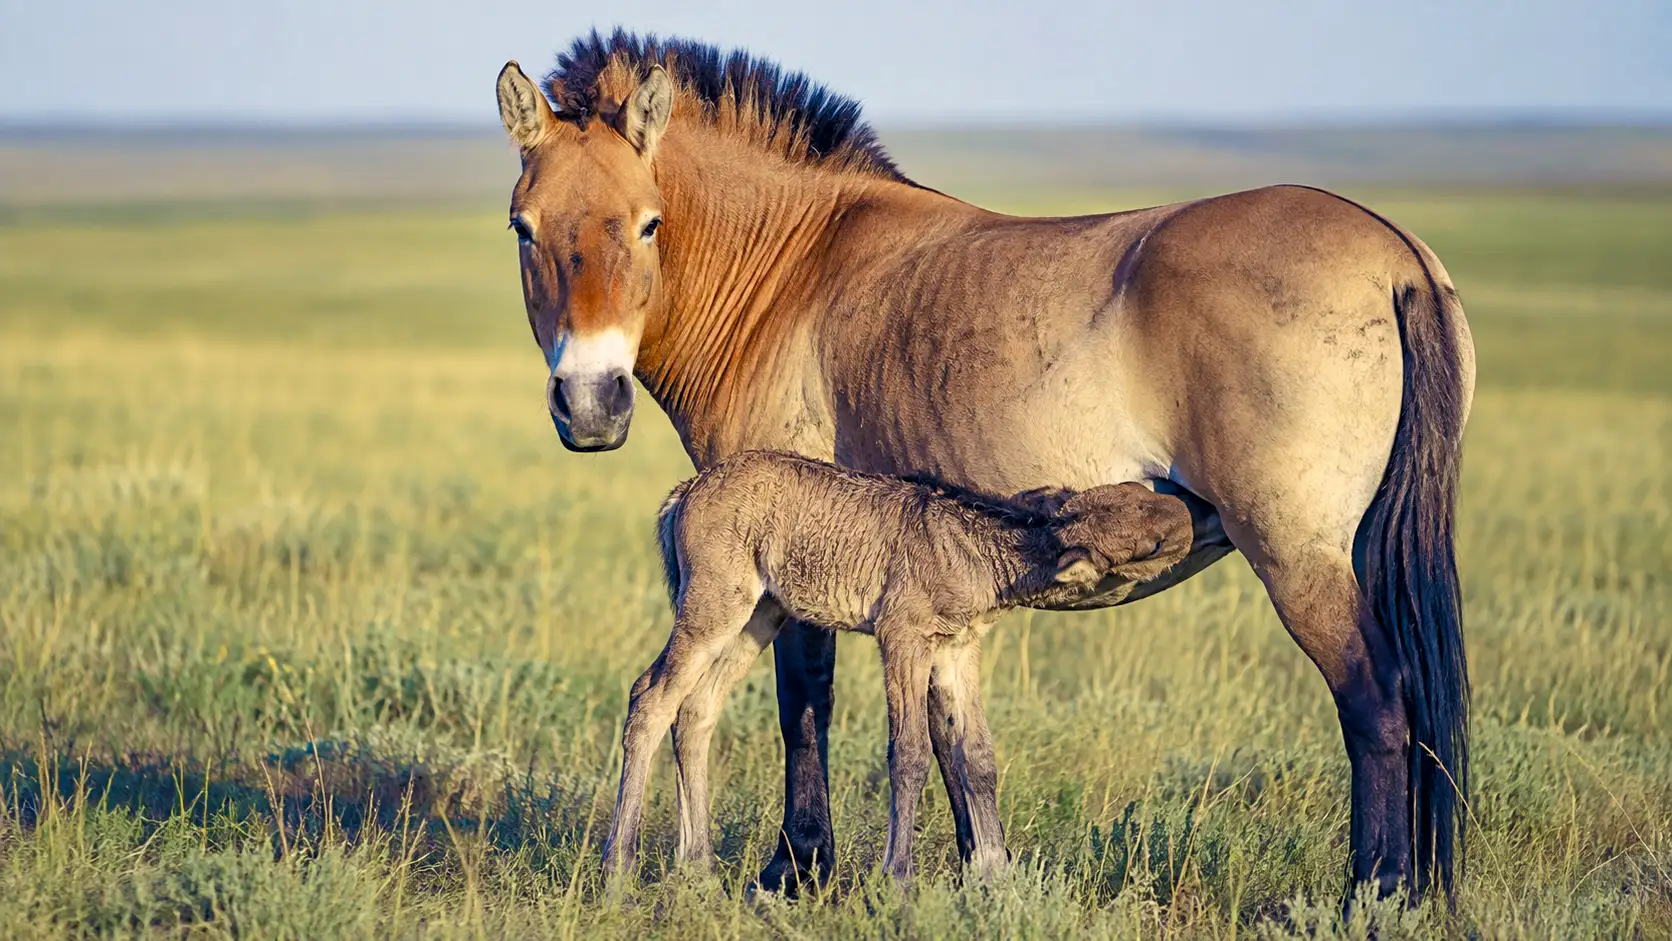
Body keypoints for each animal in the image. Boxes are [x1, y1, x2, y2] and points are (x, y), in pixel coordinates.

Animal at [494, 29, 1475, 901]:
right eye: (523, 228)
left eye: (647, 223)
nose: (591, 404)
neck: (792, 272)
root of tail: (1397, 252)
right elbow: (947, 733)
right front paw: (976, 872)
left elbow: (805, 701)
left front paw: (798, 869)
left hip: (1297, 556)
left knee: (1377, 703)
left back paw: (1376, 892)